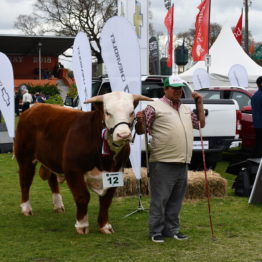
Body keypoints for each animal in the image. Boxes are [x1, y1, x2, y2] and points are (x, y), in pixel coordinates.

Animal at [14, 91, 152, 234]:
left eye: (131, 112)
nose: (123, 135)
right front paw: (82, 225)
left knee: (52, 180)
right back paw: (26, 209)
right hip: (25, 158)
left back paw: (58, 206)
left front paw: (105, 226)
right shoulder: (73, 171)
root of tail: (35, 107)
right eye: (107, 112)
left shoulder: (117, 171)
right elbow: (82, 197)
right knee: (25, 182)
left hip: (50, 159)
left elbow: (106, 200)